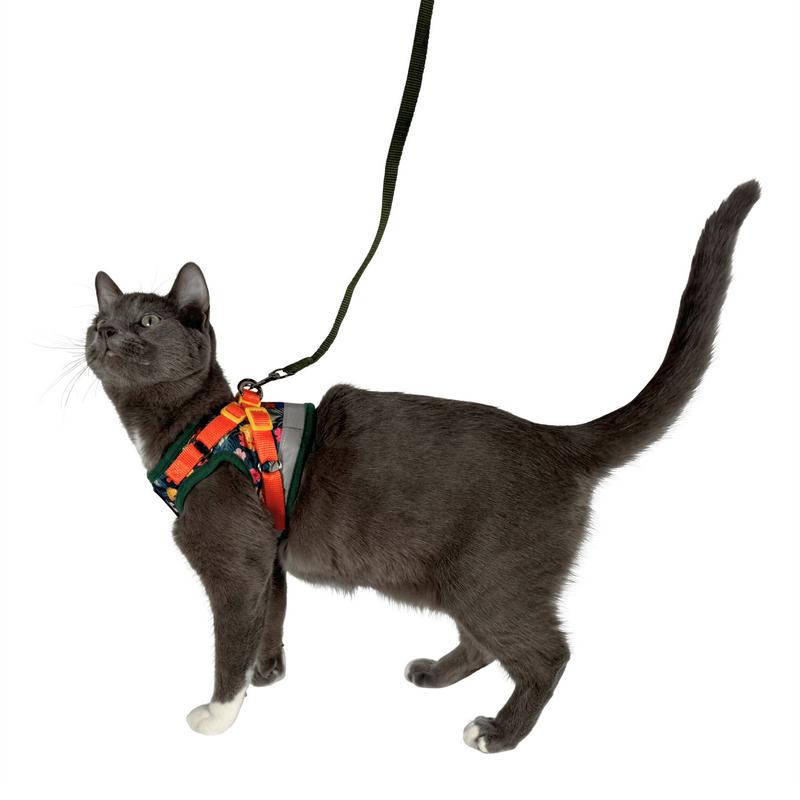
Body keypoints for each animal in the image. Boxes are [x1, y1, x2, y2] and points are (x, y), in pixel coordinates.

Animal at [85, 181, 759, 753]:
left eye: (146, 321)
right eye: (98, 320)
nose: (106, 335)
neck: (197, 428)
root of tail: (557, 438)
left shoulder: (235, 559)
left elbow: (230, 641)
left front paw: (220, 714)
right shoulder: (267, 554)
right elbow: (269, 614)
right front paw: (268, 671)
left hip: (492, 577)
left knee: (548, 654)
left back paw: (499, 733)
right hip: (458, 578)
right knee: (484, 644)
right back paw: (434, 673)